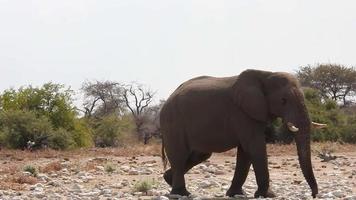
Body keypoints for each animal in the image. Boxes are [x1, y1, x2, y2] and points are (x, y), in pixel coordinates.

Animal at [160, 69, 326, 198]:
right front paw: (269, 195)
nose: (313, 195)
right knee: (180, 155)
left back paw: (168, 180)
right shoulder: (242, 113)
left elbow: (245, 152)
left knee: (199, 155)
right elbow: (255, 146)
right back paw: (181, 193)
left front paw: (236, 194)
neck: (265, 74)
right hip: (173, 123)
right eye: (283, 100)